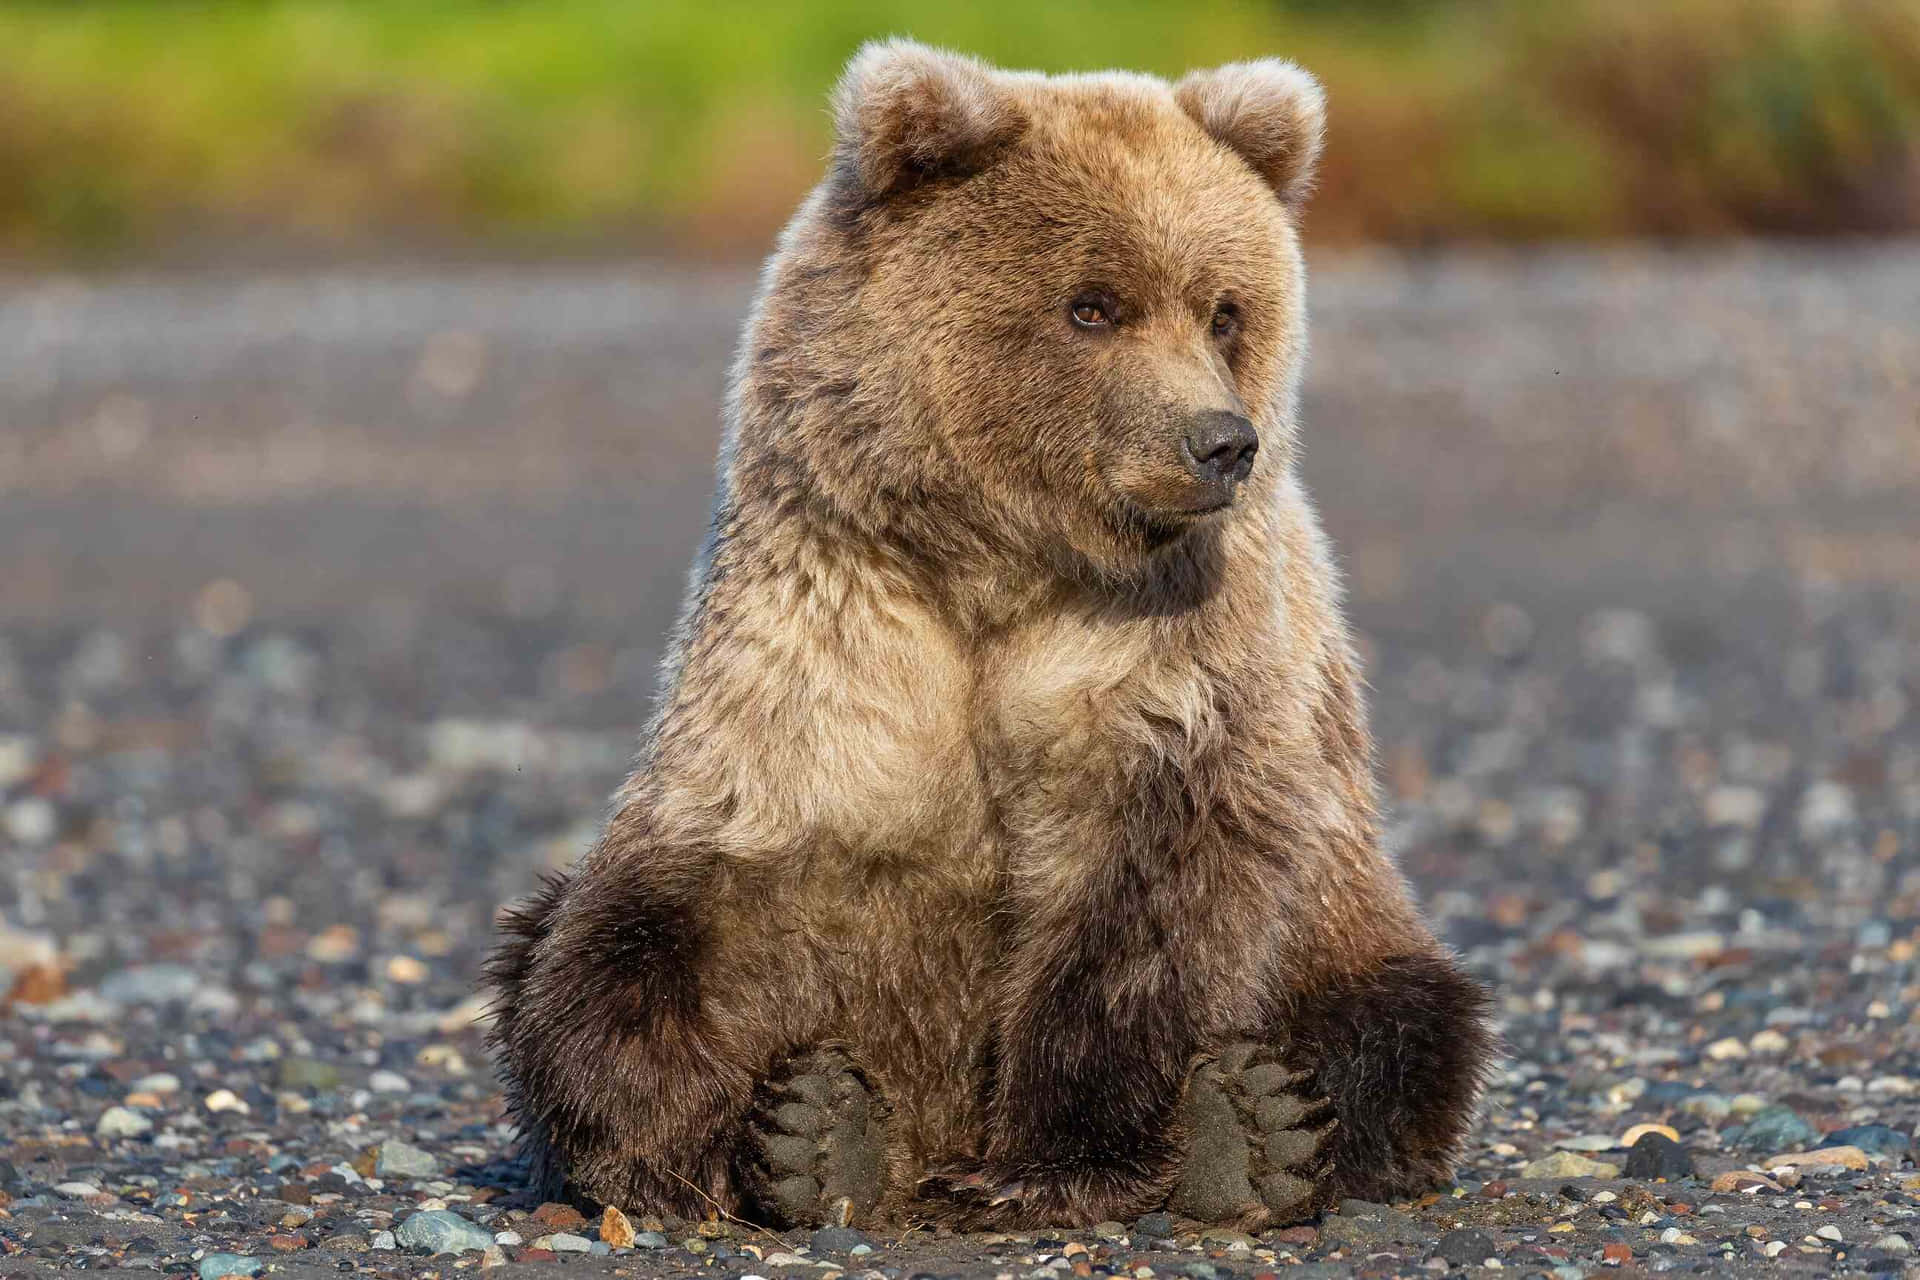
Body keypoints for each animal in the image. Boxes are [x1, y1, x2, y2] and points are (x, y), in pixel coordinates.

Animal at [483, 37, 1497, 1228]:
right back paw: (828, 1138)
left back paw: (1254, 1129)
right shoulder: (830, 640)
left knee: (1403, 1016)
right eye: (1093, 306)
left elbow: (1148, 906)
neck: (999, 569)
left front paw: (1056, 1160)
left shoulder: (1177, 667)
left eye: (1223, 309)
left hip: (1349, 916)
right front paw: (695, 1136)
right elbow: (648, 927)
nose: (1220, 441)